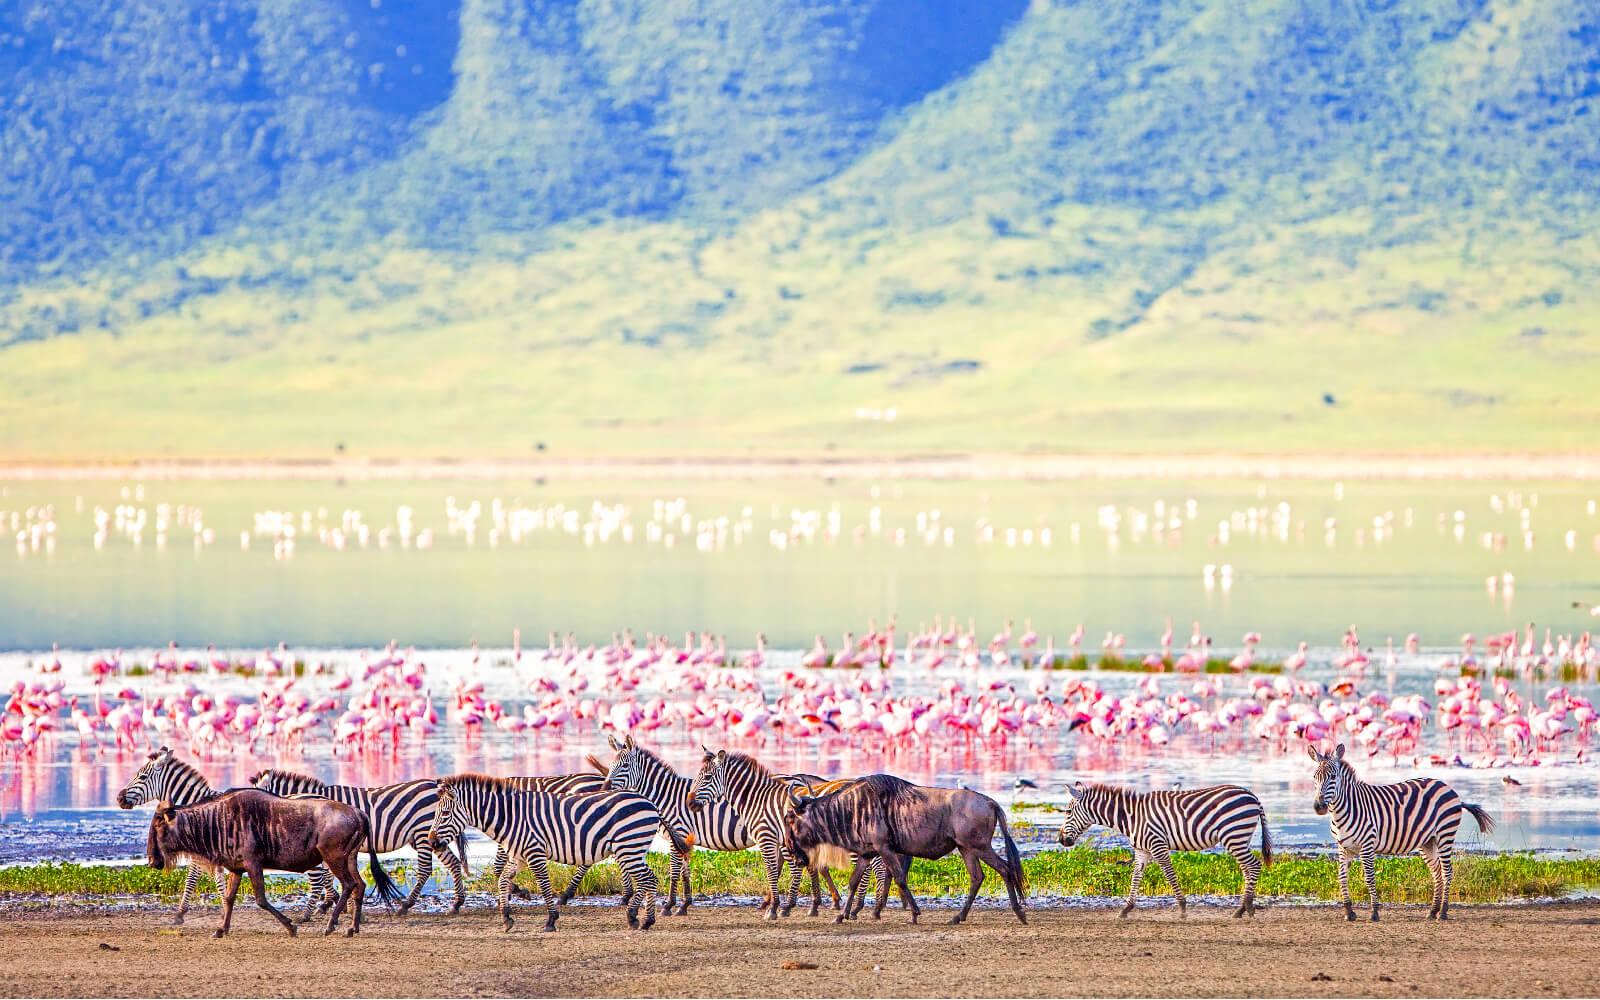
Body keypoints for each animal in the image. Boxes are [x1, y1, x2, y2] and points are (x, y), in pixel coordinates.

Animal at [246, 768, 467, 915]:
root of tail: (436, 784)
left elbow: (326, 875)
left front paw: (331, 903)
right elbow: (328, 875)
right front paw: (334, 902)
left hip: (423, 833)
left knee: (425, 869)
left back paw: (406, 906)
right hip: (431, 837)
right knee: (453, 863)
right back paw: (457, 903)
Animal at [428, 777, 684, 934]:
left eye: (445, 814)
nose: (431, 841)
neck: (511, 816)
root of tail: (649, 803)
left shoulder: (534, 853)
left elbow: (544, 885)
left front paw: (551, 920)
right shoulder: (519, 856)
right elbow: (502, 881)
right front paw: (507, 918)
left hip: (629, 846)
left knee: (648, 879)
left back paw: (642, 919)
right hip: (631, 848)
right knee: (648, 879)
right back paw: (639, 919)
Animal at [684, 745, 889, 915]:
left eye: (708, 778)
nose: (689, 803)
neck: (757, 799)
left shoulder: (766, 837)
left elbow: (773, 868)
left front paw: (776, 906)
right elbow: (792, 866)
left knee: (871, 866)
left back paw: (859, 907)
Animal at [1056, 780, 1267, 921]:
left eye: (1067, 812)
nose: (1061, 840)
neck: (1131, 817)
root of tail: (1252, 796)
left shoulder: (1157, 845)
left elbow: (1169, 874)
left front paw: (1182, 909)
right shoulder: (1142, 850)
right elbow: (1136, 877)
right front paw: (1126, 909)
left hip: (1234, 835)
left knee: (1254, 865)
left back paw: (1246, 908)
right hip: (1239, 838)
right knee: (1247, 868)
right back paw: (1242, 909)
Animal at [1305, 742, 1491, 921]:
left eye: (1333, 777)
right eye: (1314, 777)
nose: (1318, 807)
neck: (1345, 809)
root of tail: (1446, 786)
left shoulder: (1367, 845)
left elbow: (1369, 878)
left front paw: (1374, 912)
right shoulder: (1344, 848)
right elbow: (1342, 878)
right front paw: (1349, 912)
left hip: (1445, 834)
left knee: (1447, 872)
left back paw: (1443, 912)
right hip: (1427, 841)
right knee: (1437, 872)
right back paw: (1433, 911)